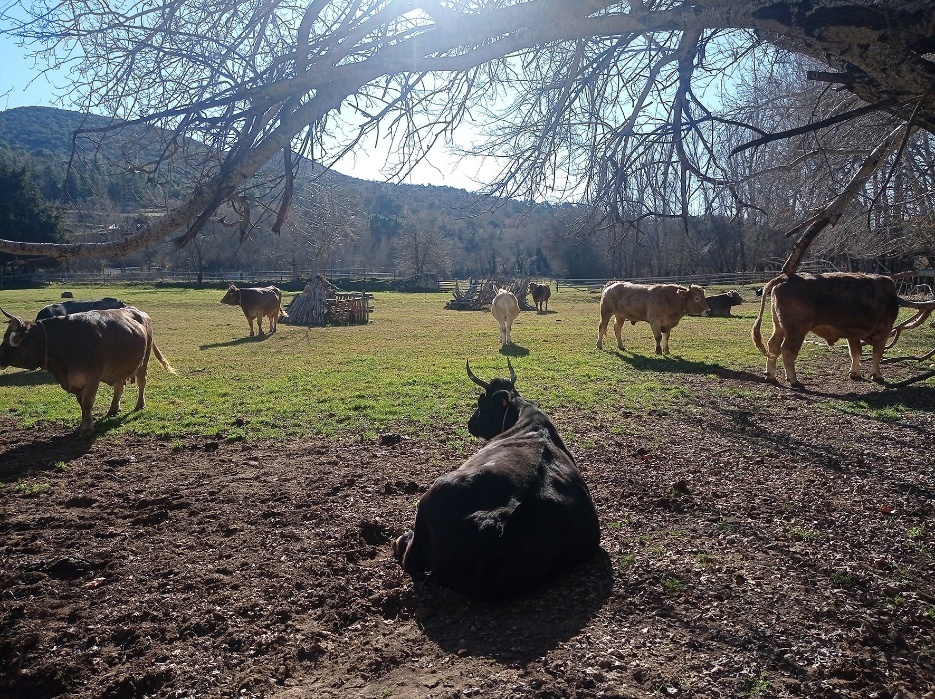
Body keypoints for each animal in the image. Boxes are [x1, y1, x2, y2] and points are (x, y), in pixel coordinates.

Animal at [0, 306, 176, 434]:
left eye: (8, 341)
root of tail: (139, 312)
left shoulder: (93, 376)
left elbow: (88, 401)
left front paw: (87, 426)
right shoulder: (76, 380)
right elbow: (81, 402)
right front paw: (84, 421)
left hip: (143, 361)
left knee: (141, 382)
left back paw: (140, 404)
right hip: (118, 367)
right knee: (119, 386)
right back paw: (113, 408)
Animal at [752, 272, 935, 388]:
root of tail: (787, 277)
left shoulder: (853, 334)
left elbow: (856, 352)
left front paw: (855, 374)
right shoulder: (883, 331)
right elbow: (877, 354)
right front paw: (877, 375)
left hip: (779, 328)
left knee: (773, 346)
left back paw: (771, 376)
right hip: (796, 331)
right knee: (788, 351)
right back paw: (794, 380)